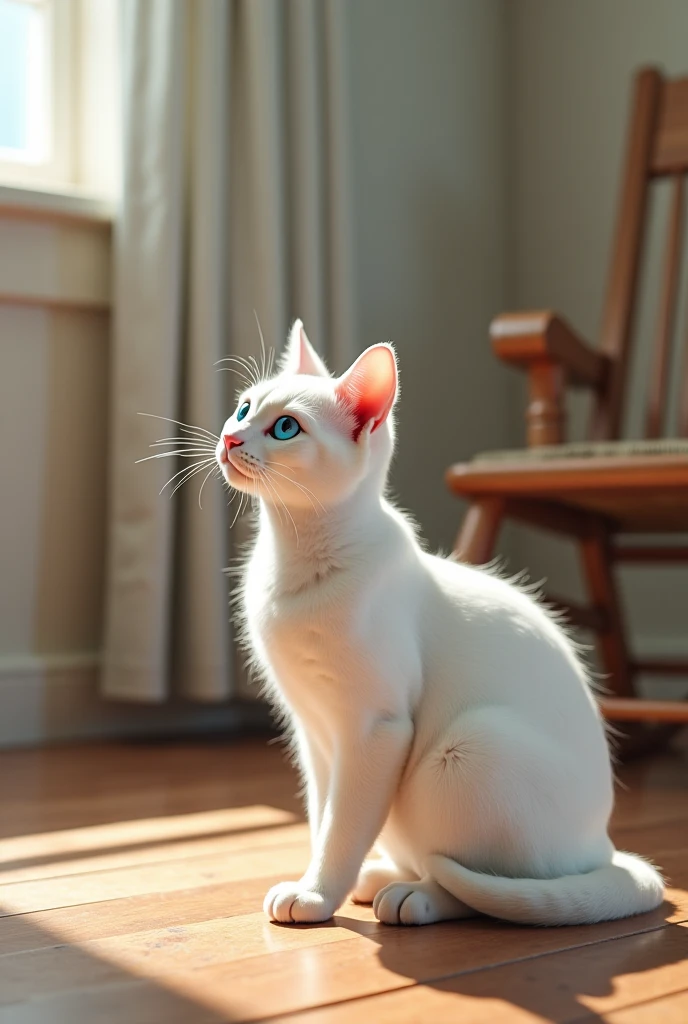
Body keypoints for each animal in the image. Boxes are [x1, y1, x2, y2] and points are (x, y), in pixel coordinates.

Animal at [213, 319, 659, 929]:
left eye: (285, 427)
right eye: (243, 408)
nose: (232, 439)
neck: (296, 569)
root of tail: (605, 849)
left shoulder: (375, 728)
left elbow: (343, 827)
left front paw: (317, 894)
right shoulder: (313, 732)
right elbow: (322, 816)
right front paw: (318, 881)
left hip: (467, 748)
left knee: (481, 884)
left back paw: (413, 896)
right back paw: (382, 876)